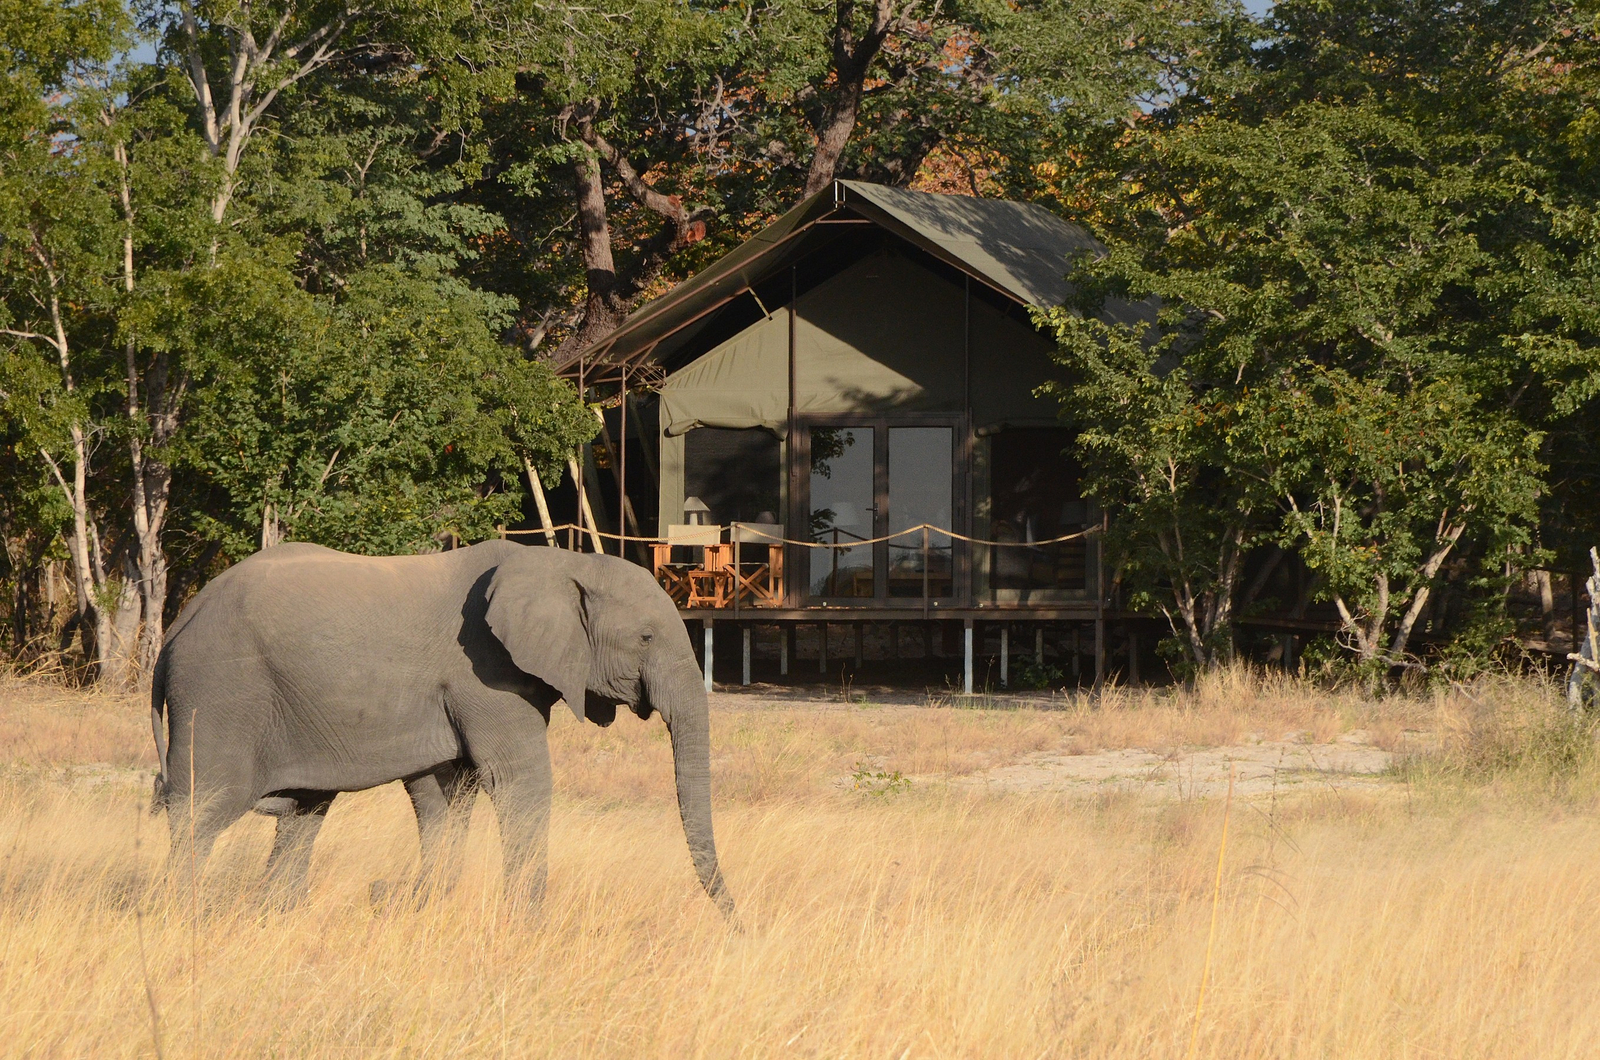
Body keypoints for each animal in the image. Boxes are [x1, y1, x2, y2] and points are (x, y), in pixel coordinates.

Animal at [149, 539, 732, 916]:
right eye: (646, 638)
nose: (736, 924)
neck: (562, 562)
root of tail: (179, 623)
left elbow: (445, 791)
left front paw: (420, 904)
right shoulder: (484, 673)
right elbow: (518, 781)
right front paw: (526, 921)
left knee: (303, 811)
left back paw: (276, 914)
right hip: (220, 695)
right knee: (203, 809)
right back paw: (184, 917)